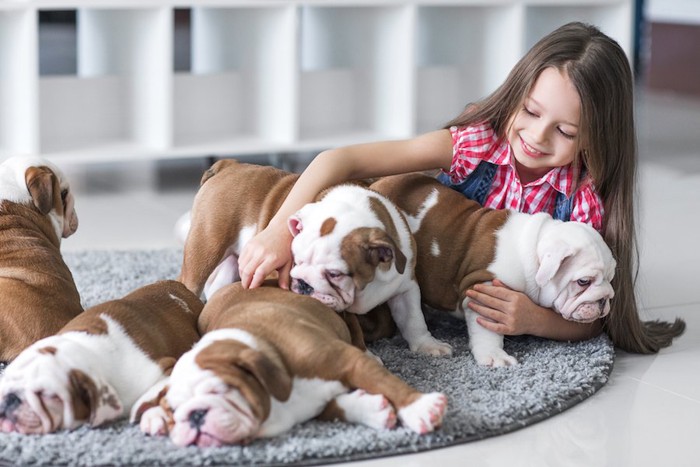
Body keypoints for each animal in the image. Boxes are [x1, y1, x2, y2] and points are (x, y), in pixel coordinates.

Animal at [135, 282, 448, 446]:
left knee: (355, 329)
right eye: (172, 411)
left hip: (338, 307)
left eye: (220, 391)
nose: (194, 415)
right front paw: (371, 409)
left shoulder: (348, 361)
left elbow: (387, 383)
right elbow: (335, 408)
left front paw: (419, 408)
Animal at [178, 159, 452, 356]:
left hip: (237, 258)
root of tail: (229, 165)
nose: (303, 284)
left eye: (335, 274)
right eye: (295, 262)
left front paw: (428, 345)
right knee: (191, 281)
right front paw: (368, 355)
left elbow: (414, 318)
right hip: (206, 245)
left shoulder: (405, 286)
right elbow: (355, 332)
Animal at [370, 174, 616, 368]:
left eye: (611, 279)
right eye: (583, 282)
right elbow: (487, 331)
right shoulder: (484, 290)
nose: (605, 299)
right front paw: (495, 356)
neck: (529, 252)